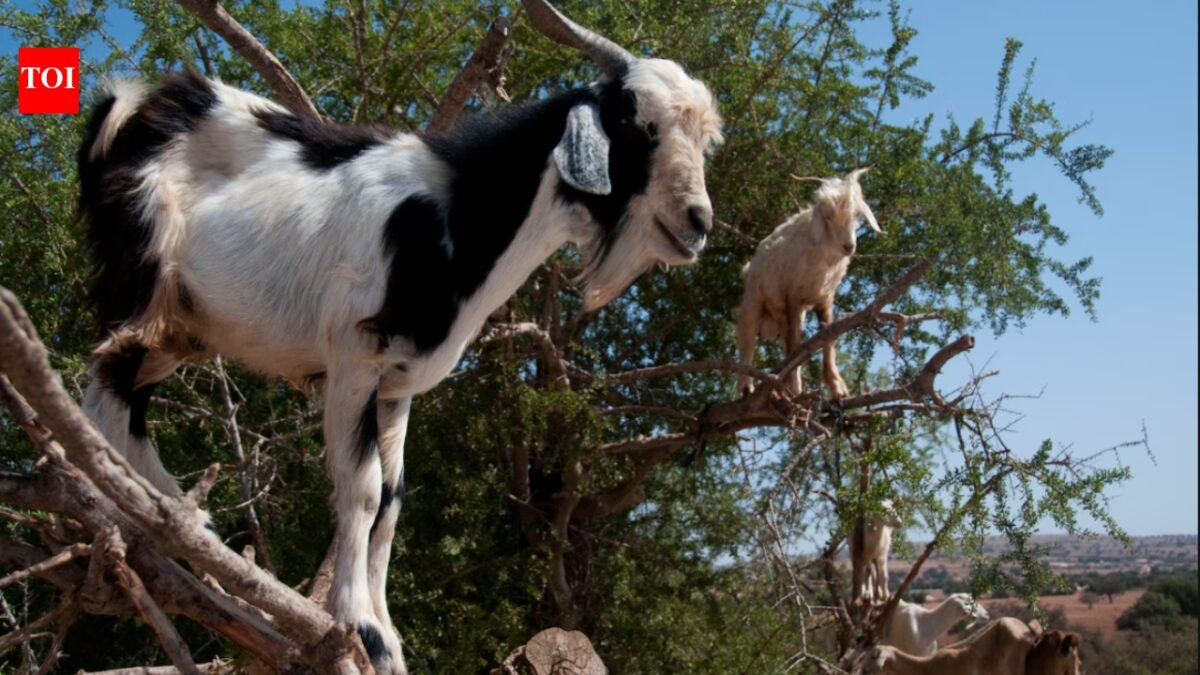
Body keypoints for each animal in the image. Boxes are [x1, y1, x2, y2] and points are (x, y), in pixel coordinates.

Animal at [75, 2, 722, 672]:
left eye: (705, 139)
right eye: (638, 125)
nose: (698, 223)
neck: (456, 215)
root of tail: (131, 105)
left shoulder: (398, 383)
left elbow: (392, 500)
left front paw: (388, 633)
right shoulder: (355, 359)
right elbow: (360, 490)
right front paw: (361, 626)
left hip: (185, 328)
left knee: (124, 399)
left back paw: (187, 526)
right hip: (141, 288)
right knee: (103, 392)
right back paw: (142, 521)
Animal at [736, 168, 881, 398]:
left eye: (857, 215)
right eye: (828, 216)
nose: (849, 246)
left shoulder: (825, 298)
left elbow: (827, 338)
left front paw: (836, 386)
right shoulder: (793, 295)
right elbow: (796, 344)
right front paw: (795, 386)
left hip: (783, 314)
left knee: (786, 341)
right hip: (754, 299)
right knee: (748, 339)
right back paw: (746, 386)